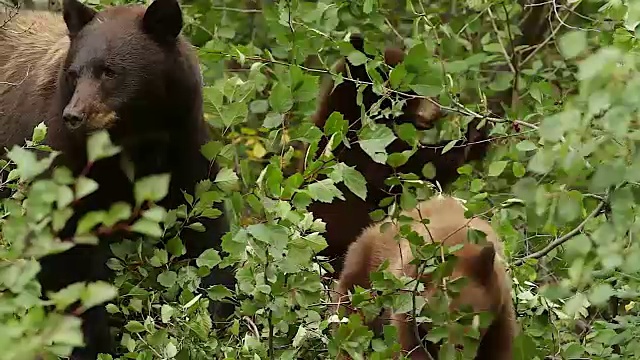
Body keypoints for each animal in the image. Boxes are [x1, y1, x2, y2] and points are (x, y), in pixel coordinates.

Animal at [0, 0, 235, 358]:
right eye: (73, 73)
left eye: (109, 71)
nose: (74, 115)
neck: (134, 142)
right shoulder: (62, 166)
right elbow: (66, 264)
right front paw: (91, 342)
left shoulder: (185, 154)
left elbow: (208, 239)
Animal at [336, 195, 516, 358]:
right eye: (437, 321)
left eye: (464, 317)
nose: (457, 348)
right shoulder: (409, 302)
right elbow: (410, 344)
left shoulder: (500, 303)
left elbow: (500, 347)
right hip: (363, 274)